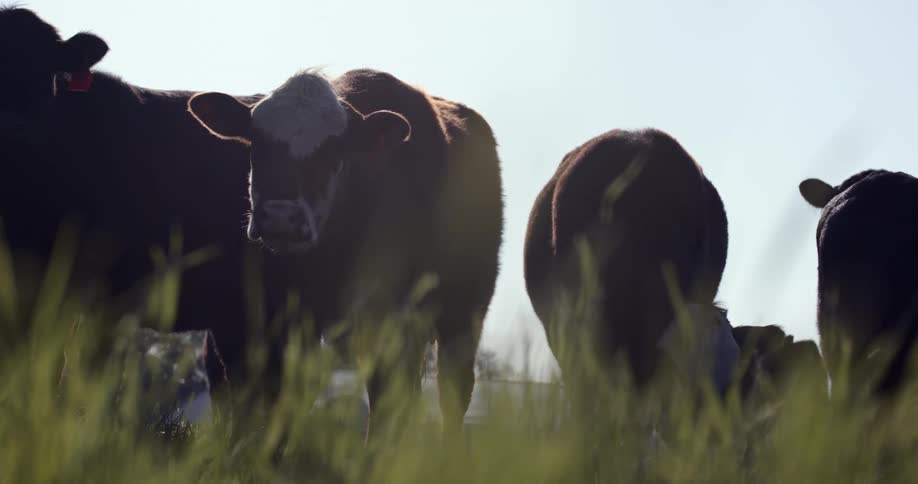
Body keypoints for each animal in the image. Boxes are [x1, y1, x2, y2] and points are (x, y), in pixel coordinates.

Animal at [186, 68, 504, 438]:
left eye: (333, 150)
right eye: (256, 142)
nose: (280, 216)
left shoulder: (389, 320)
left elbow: (384, 402)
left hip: (465, 307)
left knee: (453, 391)